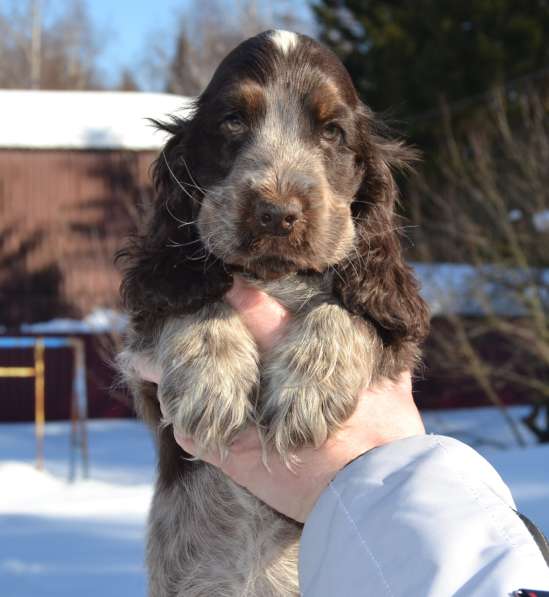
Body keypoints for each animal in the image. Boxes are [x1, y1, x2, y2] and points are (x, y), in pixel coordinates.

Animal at [117, 31, 430, 596]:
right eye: (232, 121)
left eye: (333, 131)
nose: (277, 214)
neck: (273, 276)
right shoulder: (145, 364)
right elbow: (195, 300)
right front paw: (212, 382)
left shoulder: (395, 325)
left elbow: (348, 312)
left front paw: (307, 390)